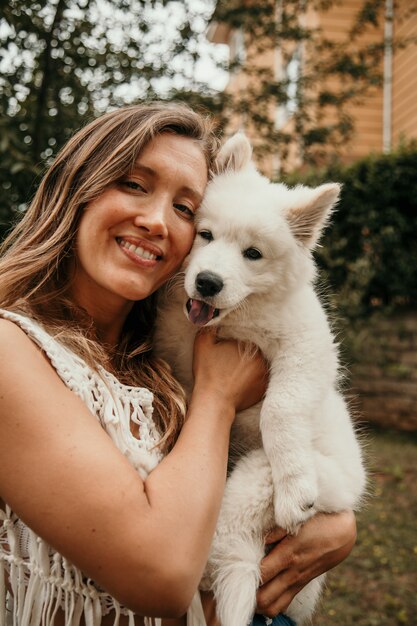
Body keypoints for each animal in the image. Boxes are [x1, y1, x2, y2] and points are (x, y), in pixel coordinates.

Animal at [153, 134, 364, 624]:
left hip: (274, 480)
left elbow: (280, 407)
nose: (207, 282)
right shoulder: (175, 350)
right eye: (205, 234)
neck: (235, 320)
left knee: (226, 552)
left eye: (253, 254)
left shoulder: (307, 346)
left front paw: (296, 487)